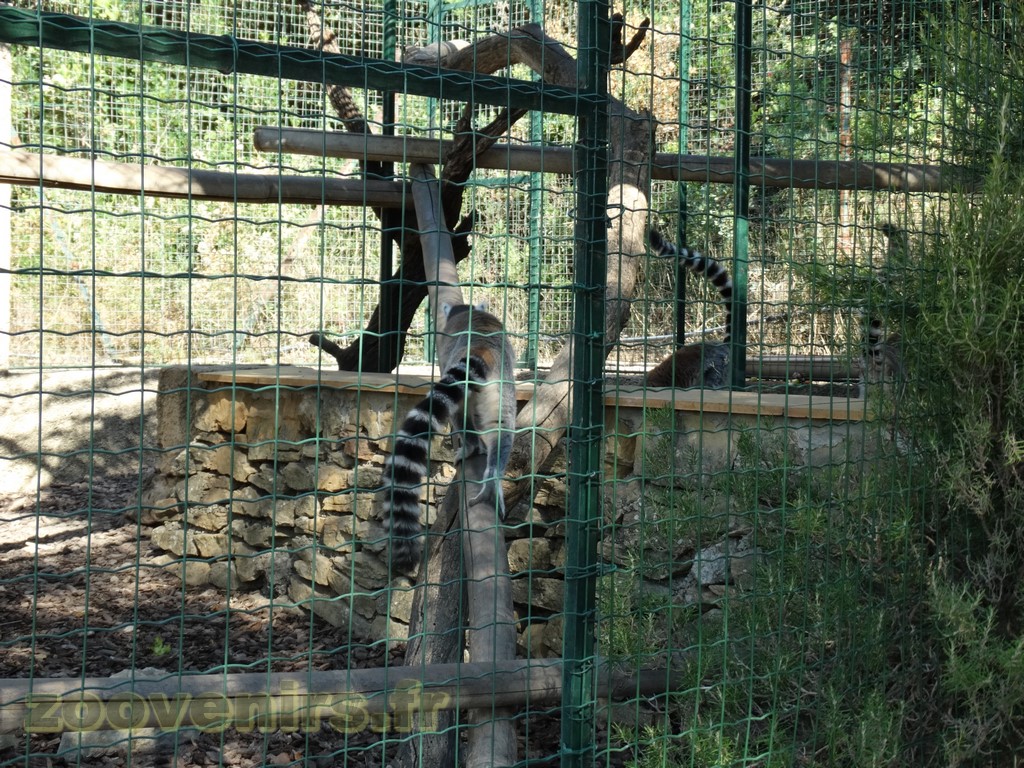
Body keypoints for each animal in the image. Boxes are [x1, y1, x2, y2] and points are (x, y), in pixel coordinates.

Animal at [379, 301, 516, 574]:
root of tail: (481, 346)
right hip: (500, 388)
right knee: (502, 424)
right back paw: (491, 476)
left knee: (462, 415)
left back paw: (471, 447)